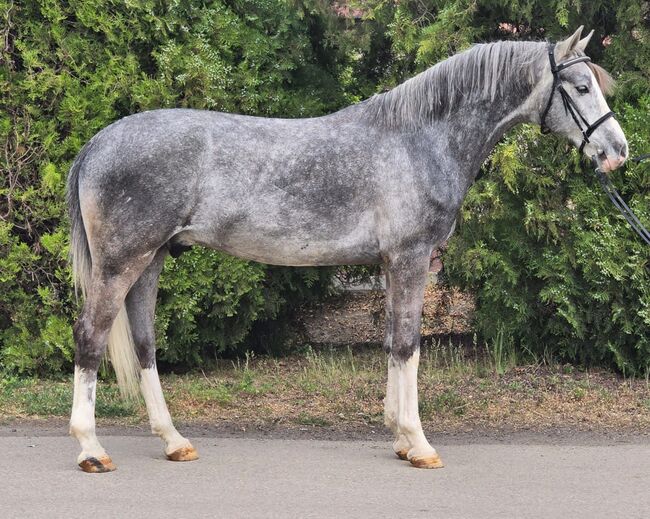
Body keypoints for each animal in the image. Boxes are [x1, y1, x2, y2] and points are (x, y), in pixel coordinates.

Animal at [68, 29, 624, 476]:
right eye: (580, 87)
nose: (618, 151)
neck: (419, 140)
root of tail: (96, 143)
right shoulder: (411, 259)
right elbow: (408, 344)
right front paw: (419, 443)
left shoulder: (392, 265)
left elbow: (392, 343)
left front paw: (399, 438)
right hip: (121, 263)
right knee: (91, 337)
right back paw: (91, 449)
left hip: (151, 259)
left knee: (144, 342)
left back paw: (174, 441)